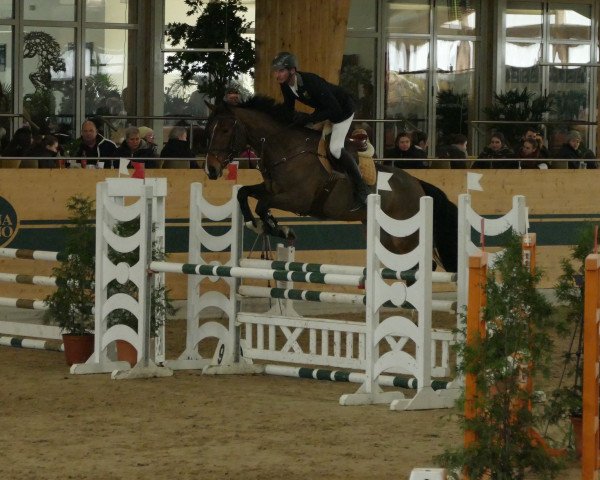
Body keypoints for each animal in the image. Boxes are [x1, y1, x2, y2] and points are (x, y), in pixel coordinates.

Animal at [204, 96, 458, 274]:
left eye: (225, 129)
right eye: (208, 130)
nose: (211, 169)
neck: (287, 149)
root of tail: (418, 184)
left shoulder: (297, 199)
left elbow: (262, 205)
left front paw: (278, 228)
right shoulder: (271, 189)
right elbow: (244, 193)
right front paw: (257, 225)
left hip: (403, 235)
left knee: (423, 265)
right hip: (385, 234)